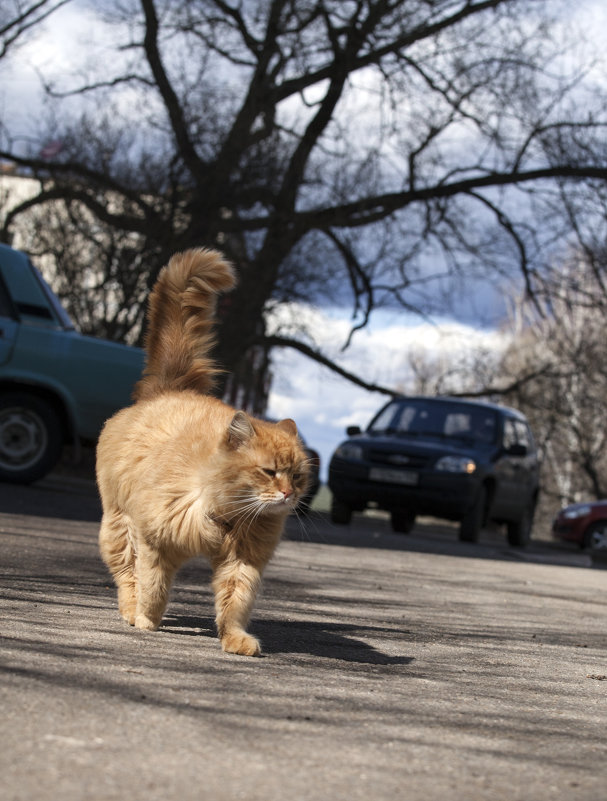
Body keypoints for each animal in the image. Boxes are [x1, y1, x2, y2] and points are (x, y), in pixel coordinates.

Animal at [98, 250, 314, 656]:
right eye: (269, 472)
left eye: (297, 476)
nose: (288, 493)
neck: (227, 516)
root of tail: (170, 388)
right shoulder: (152, 541)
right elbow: (152, 587)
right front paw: (147, 620)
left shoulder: (243, 561)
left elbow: (235, 602)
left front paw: (235, 640)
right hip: (118, 525)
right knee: (126, 576)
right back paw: (130, 611)